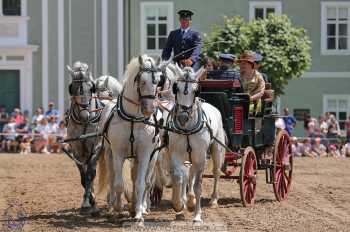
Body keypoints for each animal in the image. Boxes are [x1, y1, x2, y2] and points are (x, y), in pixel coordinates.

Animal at [97, 54, 164, 221]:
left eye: (157, 81)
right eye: (142, 81)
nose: (149, 109)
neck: (133, 118)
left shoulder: (145, 153)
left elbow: (140, 183)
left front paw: (138, 212)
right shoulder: (118, 152)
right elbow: (119, 183)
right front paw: (118, 208)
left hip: (152, 157)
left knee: (145, 181)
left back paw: (141, 206)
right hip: (109, 153)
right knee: (113, 178)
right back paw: (113, 204)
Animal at [166, 64, 226, 222]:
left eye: (195, 90)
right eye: (176, 88)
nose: (183, 117)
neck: (187, 128)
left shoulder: (200, 156)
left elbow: (199, 184)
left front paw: (197, 215)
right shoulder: (175, 155)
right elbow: (178, 177)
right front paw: (179, 205)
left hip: (216, 150)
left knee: (216, 172)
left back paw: (213, 200)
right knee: (189, 174)